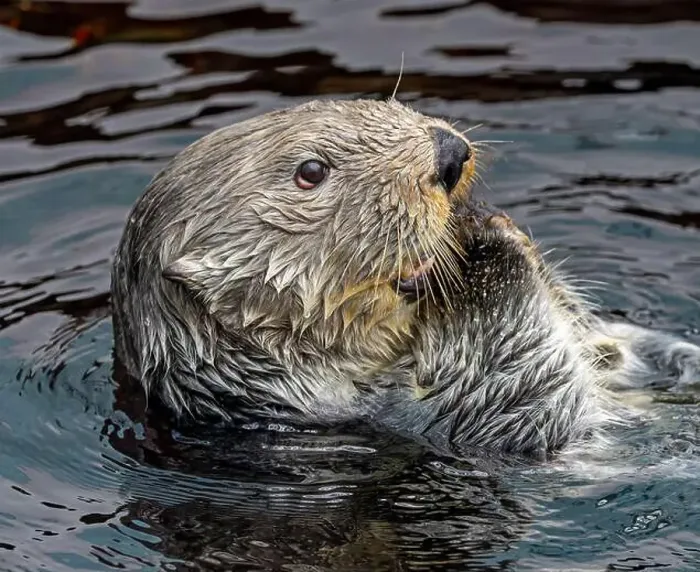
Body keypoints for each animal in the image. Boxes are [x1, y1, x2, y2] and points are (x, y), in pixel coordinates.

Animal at [111, 98, 700, 459]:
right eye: (311, 172)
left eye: (372, 106)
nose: (449, 154)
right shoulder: (426, 419)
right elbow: (533, 399)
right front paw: (483, 244)